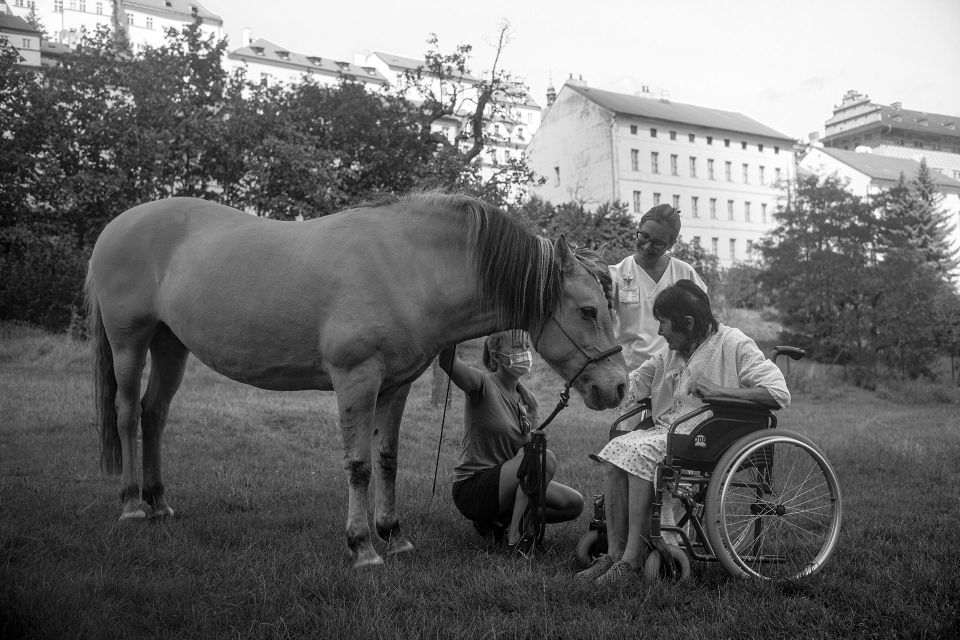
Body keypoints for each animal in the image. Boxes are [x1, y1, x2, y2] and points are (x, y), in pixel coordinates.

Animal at [84, 190, 632, 564]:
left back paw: (159, 503)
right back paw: (132, 505)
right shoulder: (356, 380)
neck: (408, 266)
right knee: (128, 414)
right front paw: (362, 545)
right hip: (130, 341)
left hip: (170, 344)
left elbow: (387, 460)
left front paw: (394, 535)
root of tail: (117, 226)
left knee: (154, 414)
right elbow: (359, 464)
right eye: (588, 310)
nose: (618, 386)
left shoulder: (395, 385)